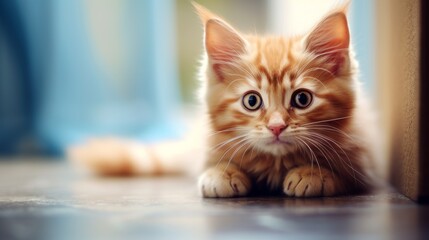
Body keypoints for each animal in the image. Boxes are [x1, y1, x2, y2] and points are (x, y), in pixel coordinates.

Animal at [68, 2, 376, 198]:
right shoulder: (210, 144)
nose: (277, 127)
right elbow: (214, 163)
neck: (275, 164)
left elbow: (350, 174)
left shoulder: (366, 154)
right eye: (252, 101)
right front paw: (222, 174)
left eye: (302, 99)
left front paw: (315, 173)